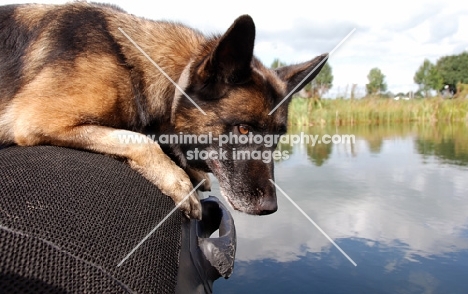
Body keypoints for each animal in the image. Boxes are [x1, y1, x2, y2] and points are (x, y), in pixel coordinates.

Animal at [0, 1, 328, 218]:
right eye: (244, 129)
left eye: (277, 139)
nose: (270, 208)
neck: (132, 66)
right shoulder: (38, 121)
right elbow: (141, 140)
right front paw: (177, 180)